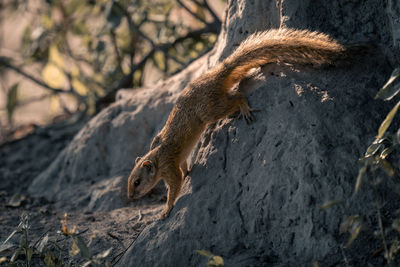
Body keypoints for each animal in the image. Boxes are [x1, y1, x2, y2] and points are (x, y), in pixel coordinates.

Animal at [127, 27, 356, 220]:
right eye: (129, 181)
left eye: (137, 182)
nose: (129, 198)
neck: (156, 156)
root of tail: (217, 74)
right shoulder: (177, 159)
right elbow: (184, 167)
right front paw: (189, 172)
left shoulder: (169, 168)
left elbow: (175, 186)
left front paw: (165, 211)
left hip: (211, 111)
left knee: (237, 97)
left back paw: (244, 108)